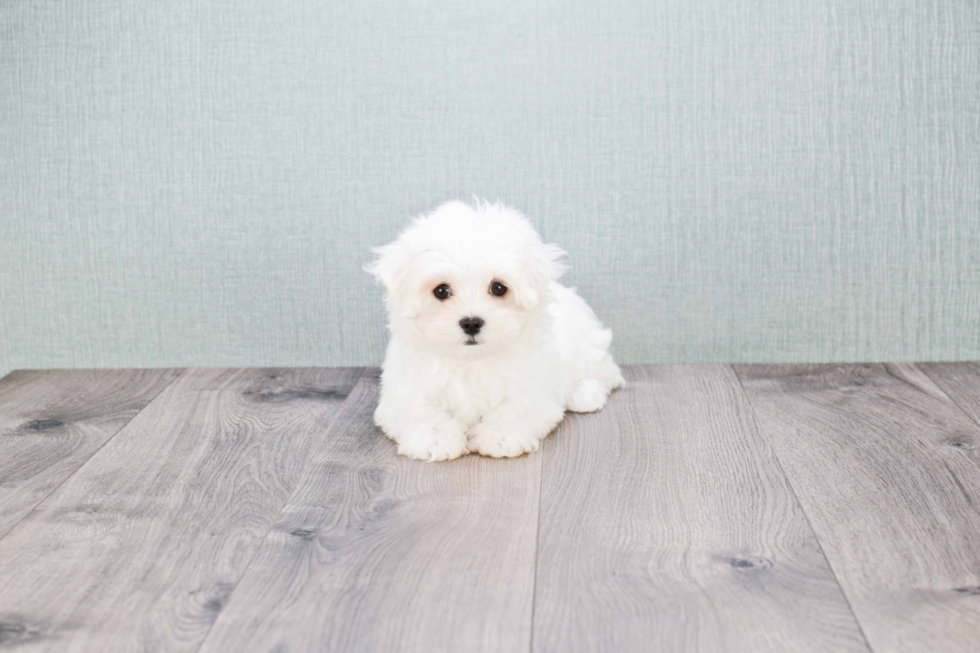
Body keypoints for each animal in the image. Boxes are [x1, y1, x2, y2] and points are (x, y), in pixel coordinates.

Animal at [364, 199, 624, 458]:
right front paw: (435, 439)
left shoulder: (531, 385)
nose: (471, 322)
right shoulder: (406, 387)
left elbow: (515, 409)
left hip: (587, 344)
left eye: (498, 287)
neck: (470, 360)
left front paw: (500, 437)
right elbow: (420, 410)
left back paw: (584, 393)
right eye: (441, 291)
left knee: (604, 371)